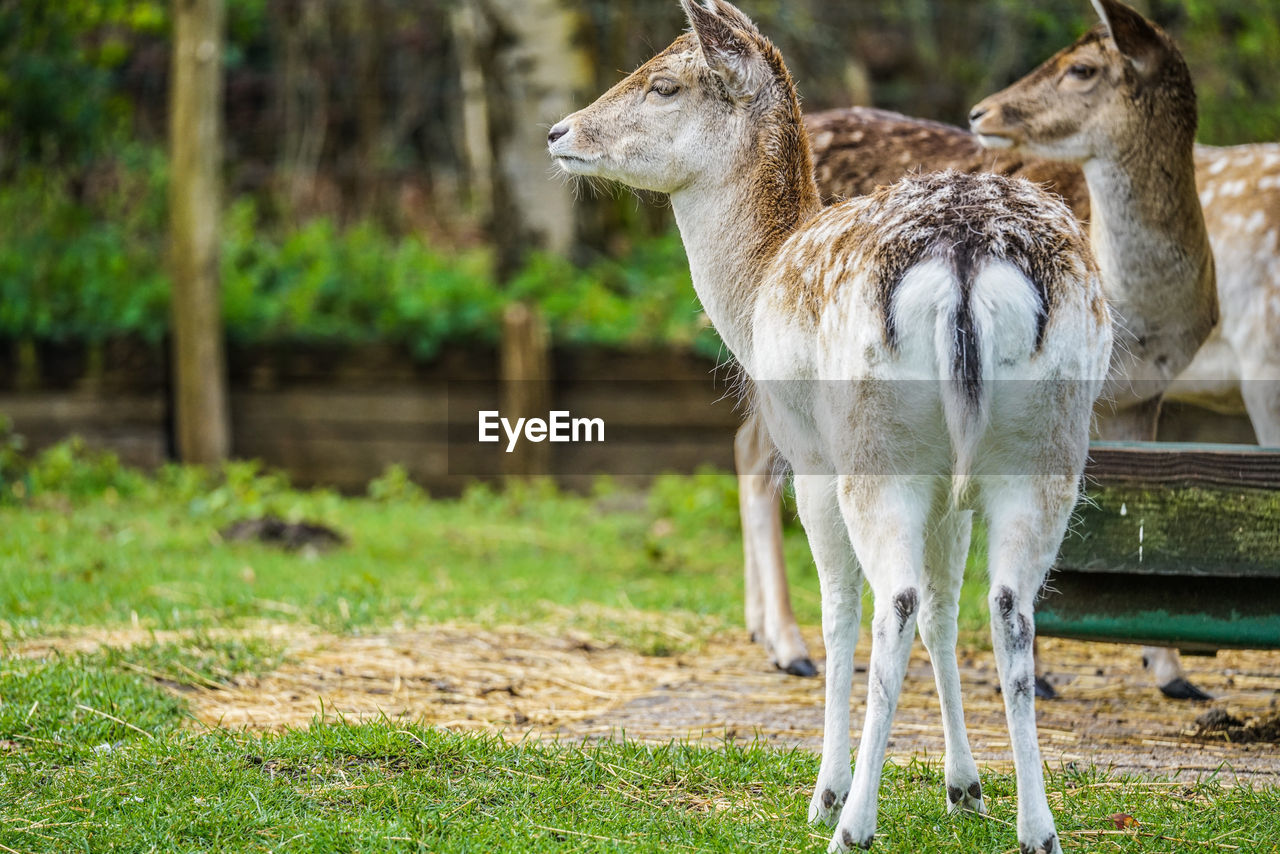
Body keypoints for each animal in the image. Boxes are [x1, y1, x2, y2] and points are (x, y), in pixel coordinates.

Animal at [550, 3, 1111, 850]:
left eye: (663, 82)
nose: (559, 131)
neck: (756, 282)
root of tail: (966, 254)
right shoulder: (950, 489)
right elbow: (946, 613)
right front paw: (965, 788)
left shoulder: (808, 454)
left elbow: (840, 609)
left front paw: (826, 790)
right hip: (1044, 447)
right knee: (1006, 603)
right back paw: (1038, 827)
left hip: (874, 448)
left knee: (894, 601)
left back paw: (851, 821)